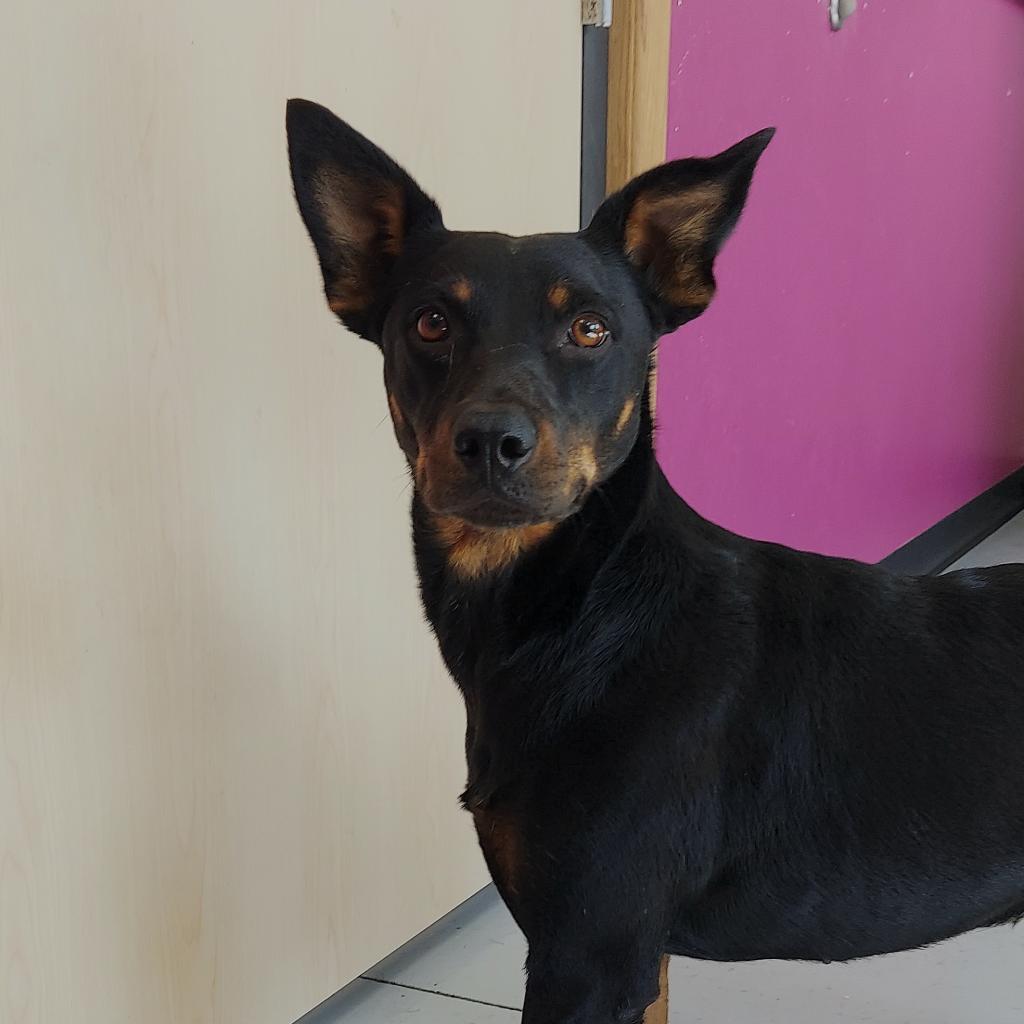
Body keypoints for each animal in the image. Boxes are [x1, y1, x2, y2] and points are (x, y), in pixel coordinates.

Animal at [286, 97, 1024, 1024]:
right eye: (431, 323)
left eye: (590, 328)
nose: (491, 442)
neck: (582, 605)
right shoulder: (627, 951)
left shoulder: (590, 954)